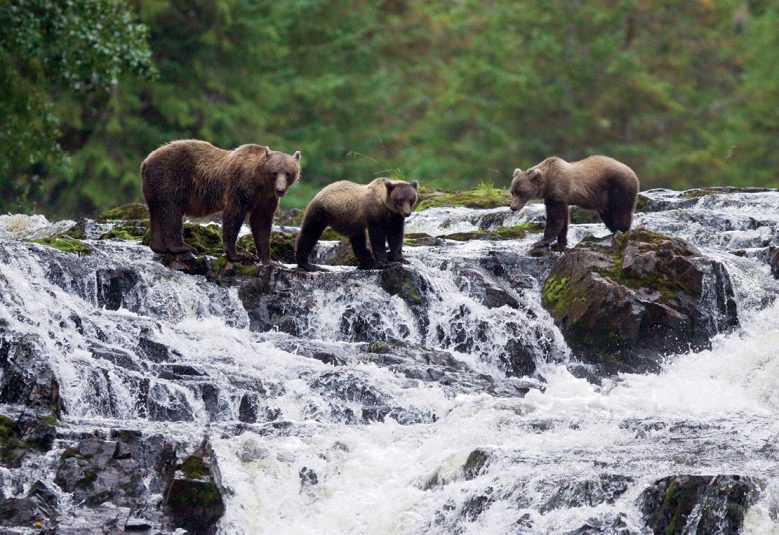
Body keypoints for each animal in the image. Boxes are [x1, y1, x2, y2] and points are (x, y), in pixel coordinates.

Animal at [139, 139, 300, 262]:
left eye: (288, 173)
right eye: (275, 172)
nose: (280, 189)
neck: (260, 182)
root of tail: (146, 161)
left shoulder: (266, 198)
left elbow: (262, 223)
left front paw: (268, 260)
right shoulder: (240, 187)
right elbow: (233, 216)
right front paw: (238, 254)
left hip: (153, 188)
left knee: (157, 212)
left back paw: (158, 246)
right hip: (170, 179)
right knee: (171, 211)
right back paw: (182, 246)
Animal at [512, 153, 640, 249]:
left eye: (521, 192)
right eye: (513, 191)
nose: (513, 207)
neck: (546, 183)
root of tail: (633, 172)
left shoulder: (558, 192)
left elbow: (555, 217)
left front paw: (541, 242)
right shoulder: (559, 198)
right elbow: (563, 218)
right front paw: (561, 241)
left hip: (619, 187)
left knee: (621, 212)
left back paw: (622, 232)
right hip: (605, 200)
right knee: (608, 215)